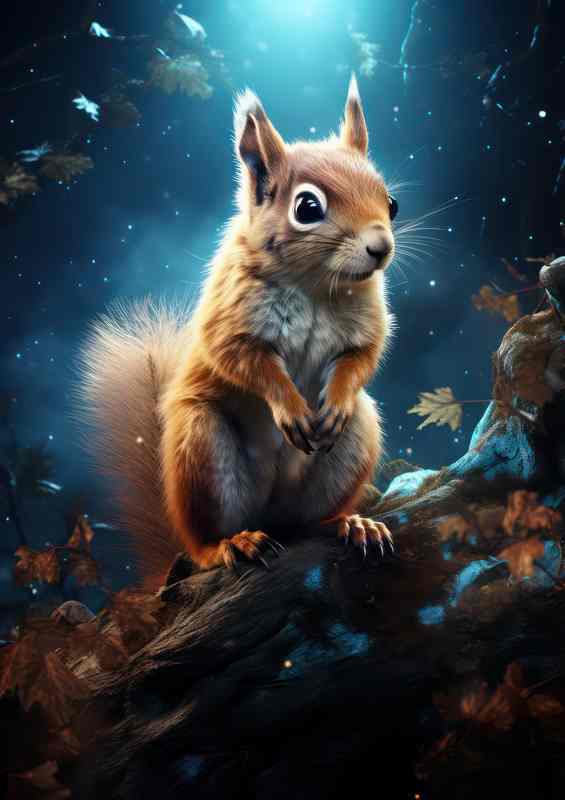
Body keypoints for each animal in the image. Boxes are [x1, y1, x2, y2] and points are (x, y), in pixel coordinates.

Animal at [77, 74, 396, 587]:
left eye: (392, 202)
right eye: (307, 206)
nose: (381, 247)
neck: (312, 285)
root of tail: (271, 517)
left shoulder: (367, 321)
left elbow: (362, 357)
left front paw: (335, 399)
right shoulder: (228, 317)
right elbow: (243, 360)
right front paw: (290, 406)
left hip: (354, 443)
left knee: (310, 520)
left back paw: (350, 523)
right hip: (200, 449)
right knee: (206, 539)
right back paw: (231, 545)